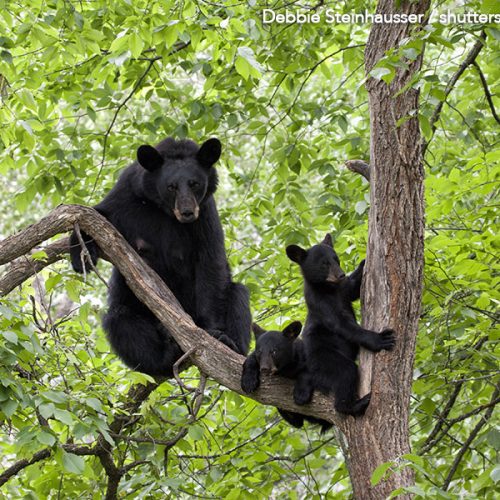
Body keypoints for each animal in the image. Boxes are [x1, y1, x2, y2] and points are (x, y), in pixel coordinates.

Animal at [70, 137, 250, 376]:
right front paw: (79, 254)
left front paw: (215, 334)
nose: (187, 212)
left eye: (194, 183)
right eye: (171, 186)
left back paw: (232, 344)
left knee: (238, 294)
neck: (164, 211)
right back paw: (164, 356)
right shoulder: (127, 193)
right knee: (121, 321)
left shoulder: (206, 213)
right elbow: (98, 215)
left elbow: (211, 262)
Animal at [286, 236, 394, 416]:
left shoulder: (343, 290)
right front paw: (380, 339)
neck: (329, 288)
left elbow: (353, 288)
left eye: (336, 259)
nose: (341, 274)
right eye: (324, 264)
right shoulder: (320, 303)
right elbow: (342, 324)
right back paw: (354, 405)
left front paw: (363, 263)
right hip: (323, 358)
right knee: (346, 372)